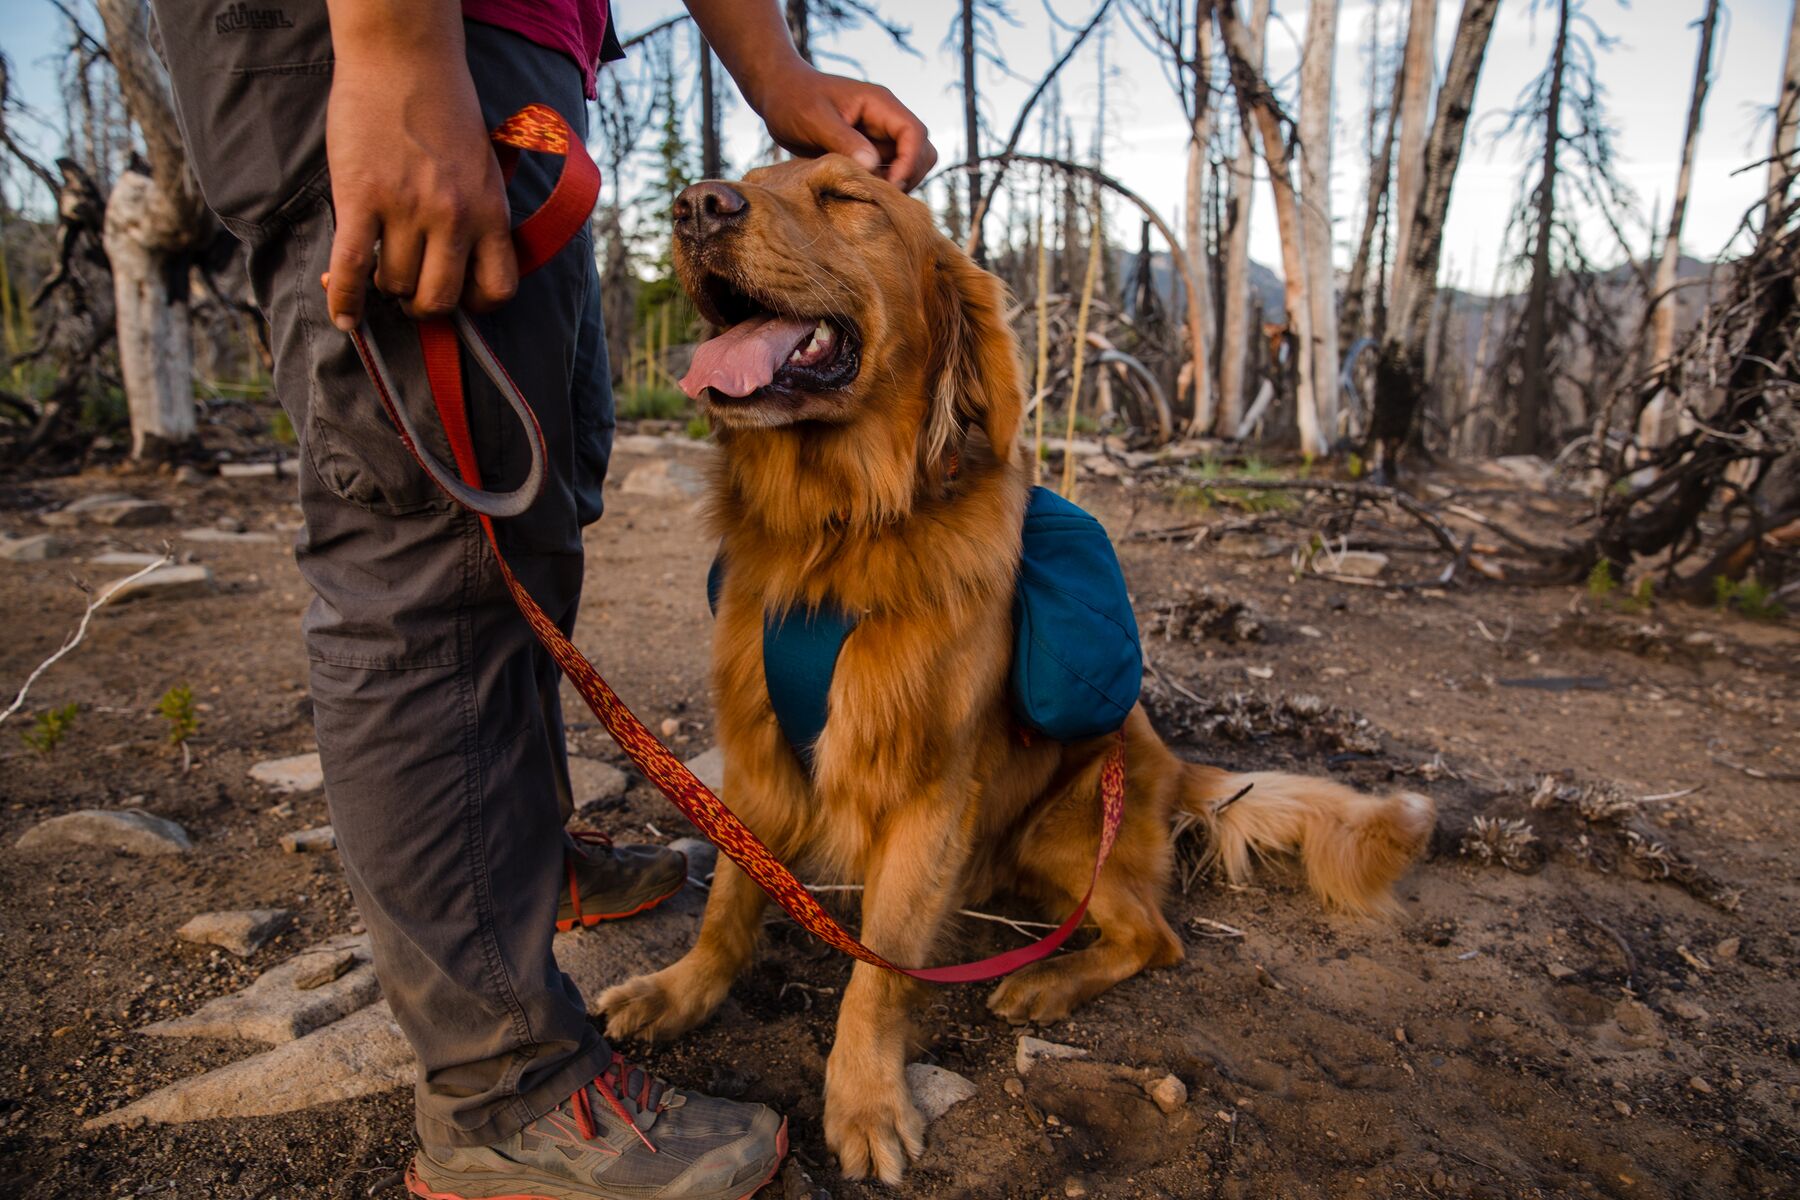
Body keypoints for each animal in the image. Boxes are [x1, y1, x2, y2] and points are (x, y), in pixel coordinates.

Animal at [601, 157, 1432, 1180]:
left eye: (846, 197)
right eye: (752, 175)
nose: (696, 205)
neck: (840, 534)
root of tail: (1173, 762)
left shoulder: (928, 795)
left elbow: (879, 970)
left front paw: (867, 1099)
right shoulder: (754, 766)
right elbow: (725, 905)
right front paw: (679, 992)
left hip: (1066, 833)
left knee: (1154, 937)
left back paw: (1046, 983)